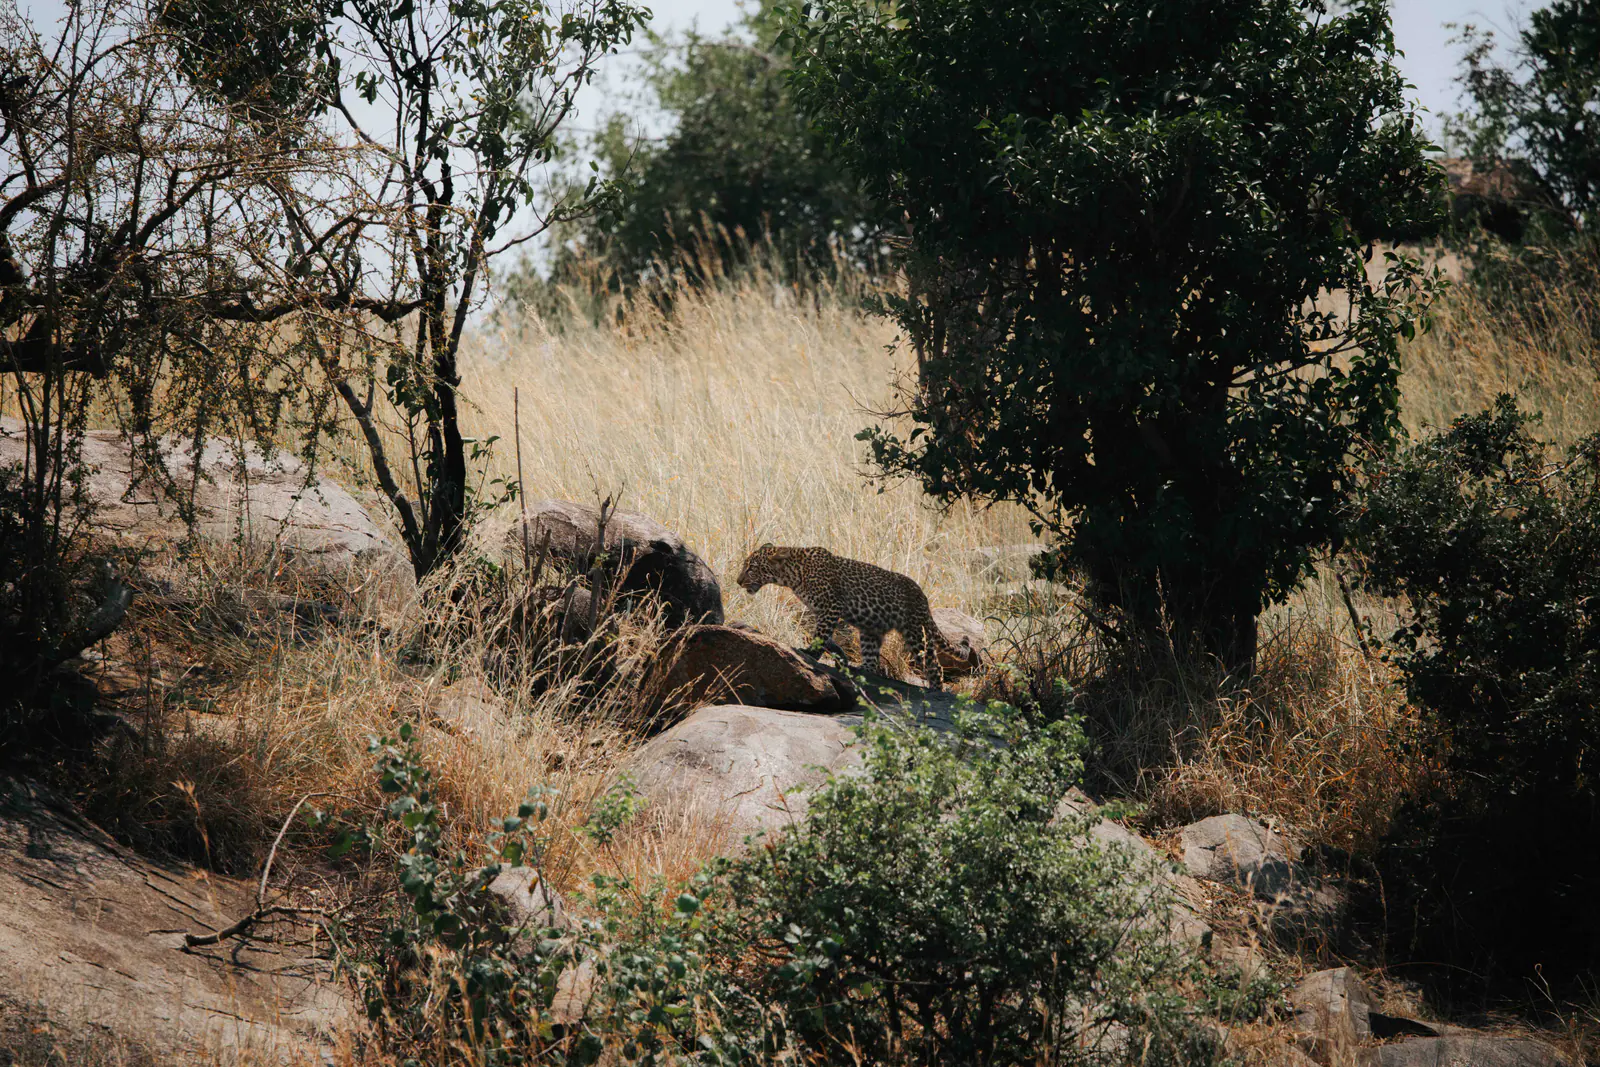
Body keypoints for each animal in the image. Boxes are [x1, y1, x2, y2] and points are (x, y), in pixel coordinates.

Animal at [736, 543, 955, 691]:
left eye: (751, 568)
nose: (738, 581)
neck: (792, 574)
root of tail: (923, 598)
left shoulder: (832, 606)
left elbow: (820, 635)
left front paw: (810, 653)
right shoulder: (822, 612)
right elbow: (826, 637)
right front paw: (839, 655)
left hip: (915, 632)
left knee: (934, 665)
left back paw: (936, 692)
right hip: (871, 631)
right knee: (872, 660)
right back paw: (862, 669)